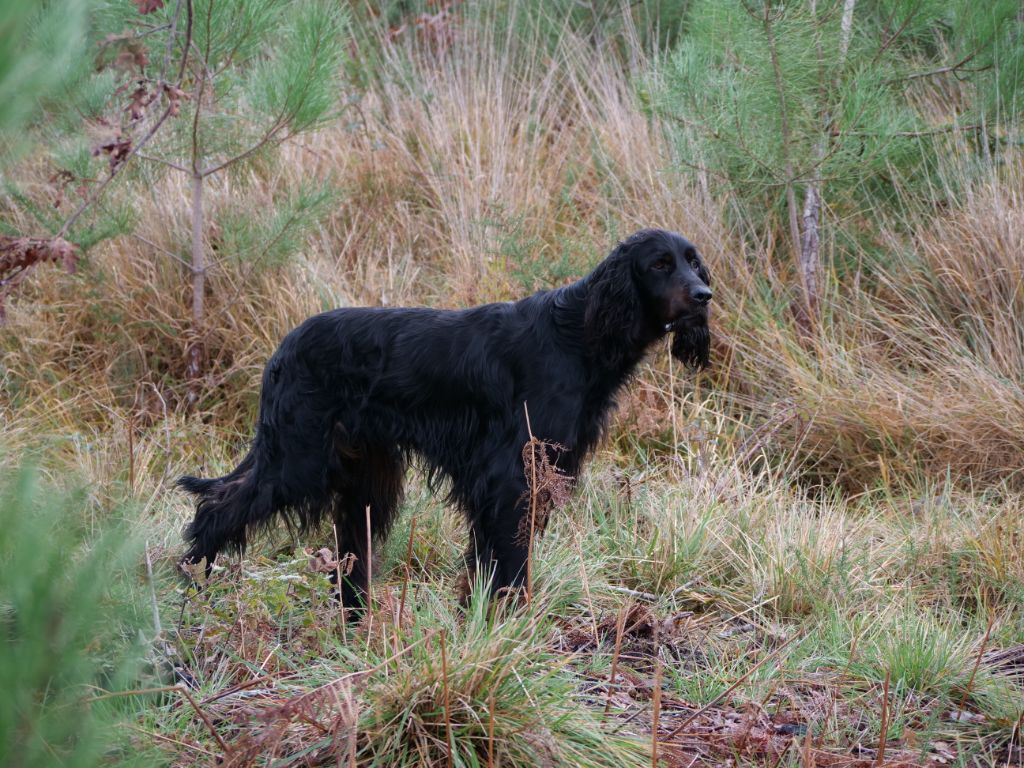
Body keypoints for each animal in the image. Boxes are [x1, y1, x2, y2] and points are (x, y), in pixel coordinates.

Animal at [180, 228, 712, 606]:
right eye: (659, 264)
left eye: (692, 261)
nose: (704, 294)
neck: (579, 334)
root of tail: (285, 347)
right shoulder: (512, 475)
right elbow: (511, 563)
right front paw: (508, 625)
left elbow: (488, 560)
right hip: (299, 457)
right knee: (217, 508)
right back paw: (190, 584)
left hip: (363, 476)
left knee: (351, 554)